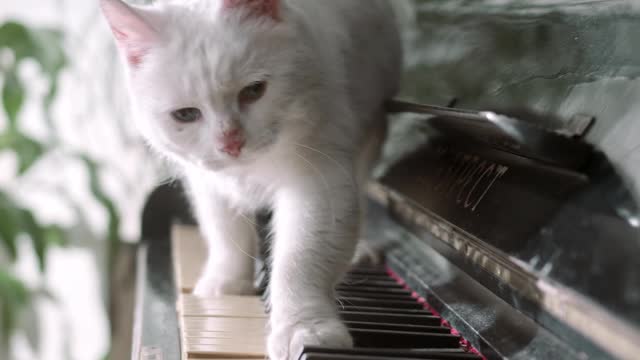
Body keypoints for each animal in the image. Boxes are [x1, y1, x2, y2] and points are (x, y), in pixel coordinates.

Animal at [100, 0, 400, 358]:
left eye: (254, 91)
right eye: (185, 115)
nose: (230, 143)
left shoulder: (319, 183)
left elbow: (300, 260)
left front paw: (305, 330)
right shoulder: (208, 184)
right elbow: (226, 235)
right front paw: (226, 285)